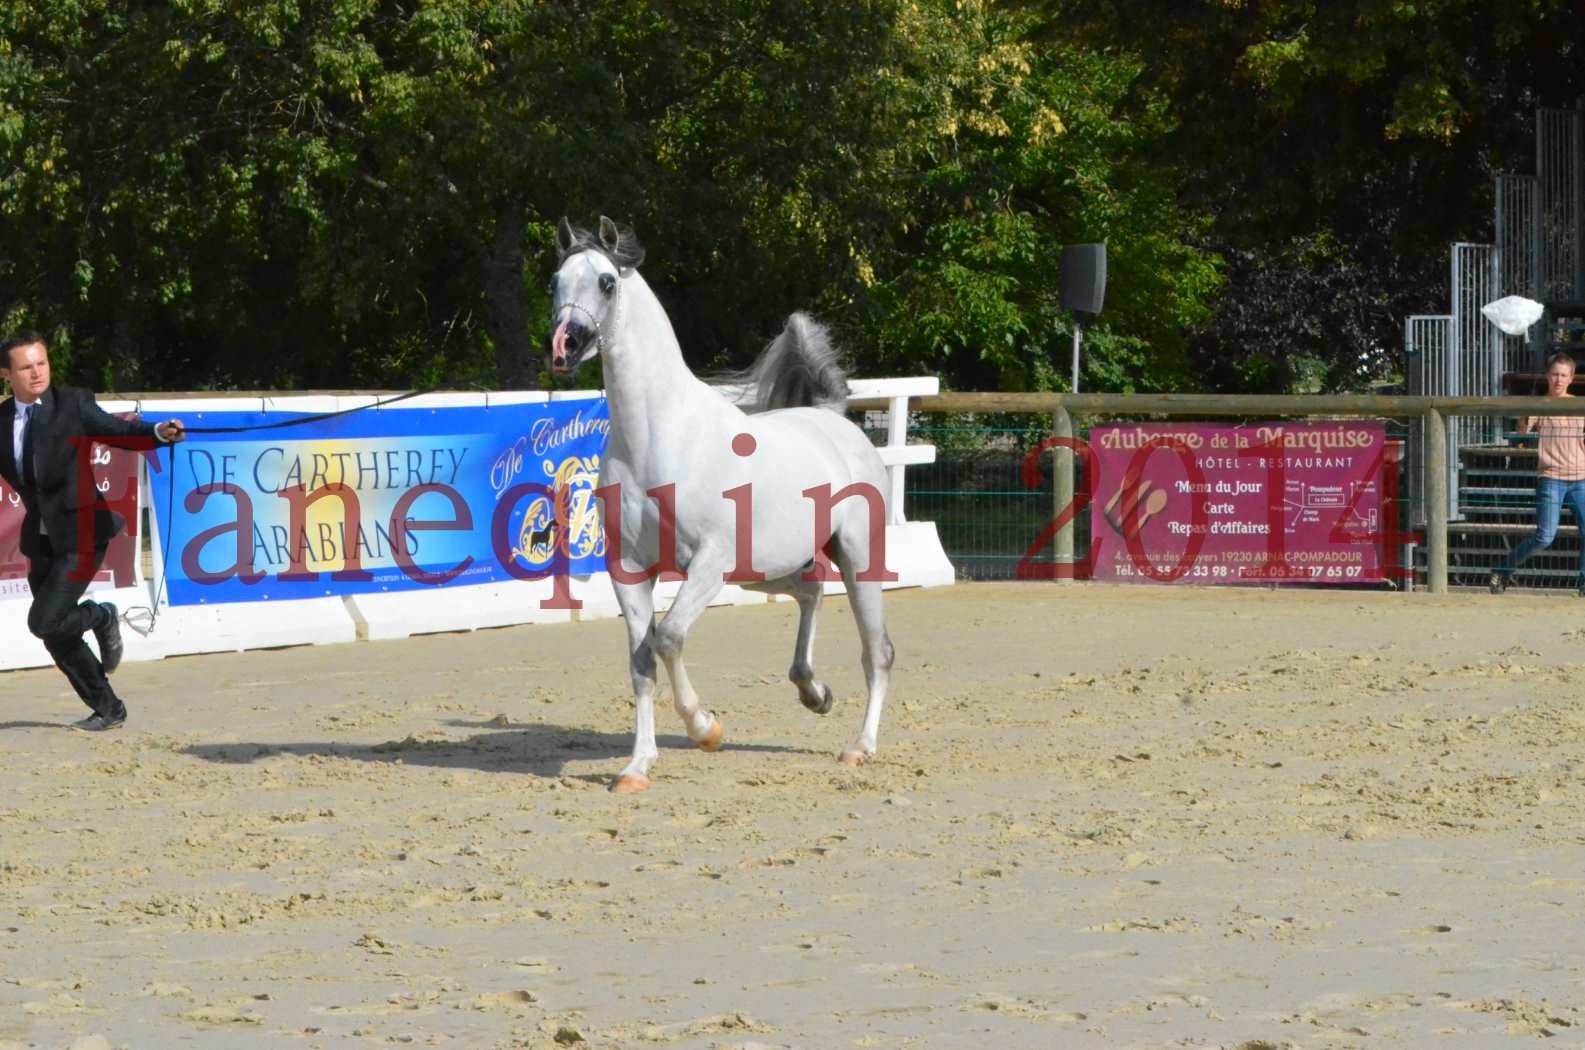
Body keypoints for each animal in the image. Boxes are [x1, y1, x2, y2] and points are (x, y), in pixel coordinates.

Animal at [545, 215, 893, 789]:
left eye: (606, 282)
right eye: (555, 280)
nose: (565, 345)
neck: (658, 437)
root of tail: (834, 418)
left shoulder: (707, 563)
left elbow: (667, 639)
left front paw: (706, 729)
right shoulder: (630, 569)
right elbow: (641, 662)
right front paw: (636, 768)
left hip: (856, 558)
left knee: (877, 651)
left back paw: (860, 747)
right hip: (760, 569)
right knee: (809, 591)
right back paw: (813, 691)